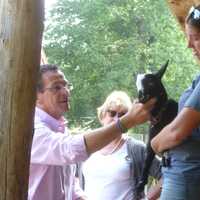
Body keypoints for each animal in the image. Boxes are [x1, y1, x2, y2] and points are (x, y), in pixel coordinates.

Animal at [134, 60, 178, 196]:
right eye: (136, 84)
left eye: (151, 82)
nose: (141, 96)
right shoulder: (151, 141)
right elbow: (147, 160)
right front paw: (140, 186)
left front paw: (165, 157)